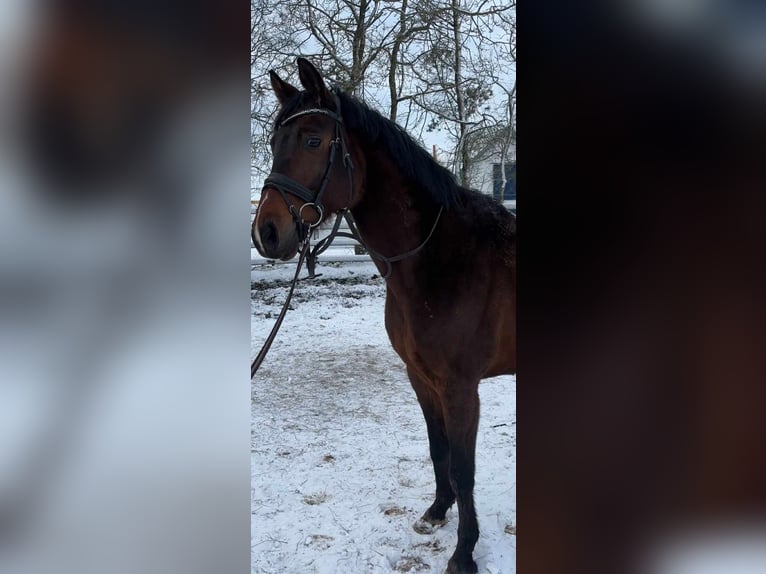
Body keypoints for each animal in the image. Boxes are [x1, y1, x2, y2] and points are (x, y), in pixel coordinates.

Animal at [252, 57, 515, 574]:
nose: (267, 233)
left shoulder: (461, 388)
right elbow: (438, 449)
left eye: (313, 140)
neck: (436, 257)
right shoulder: (422, 378)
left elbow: (464, 468)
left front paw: (464, 552)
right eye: (273, 143)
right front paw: (436, 512)